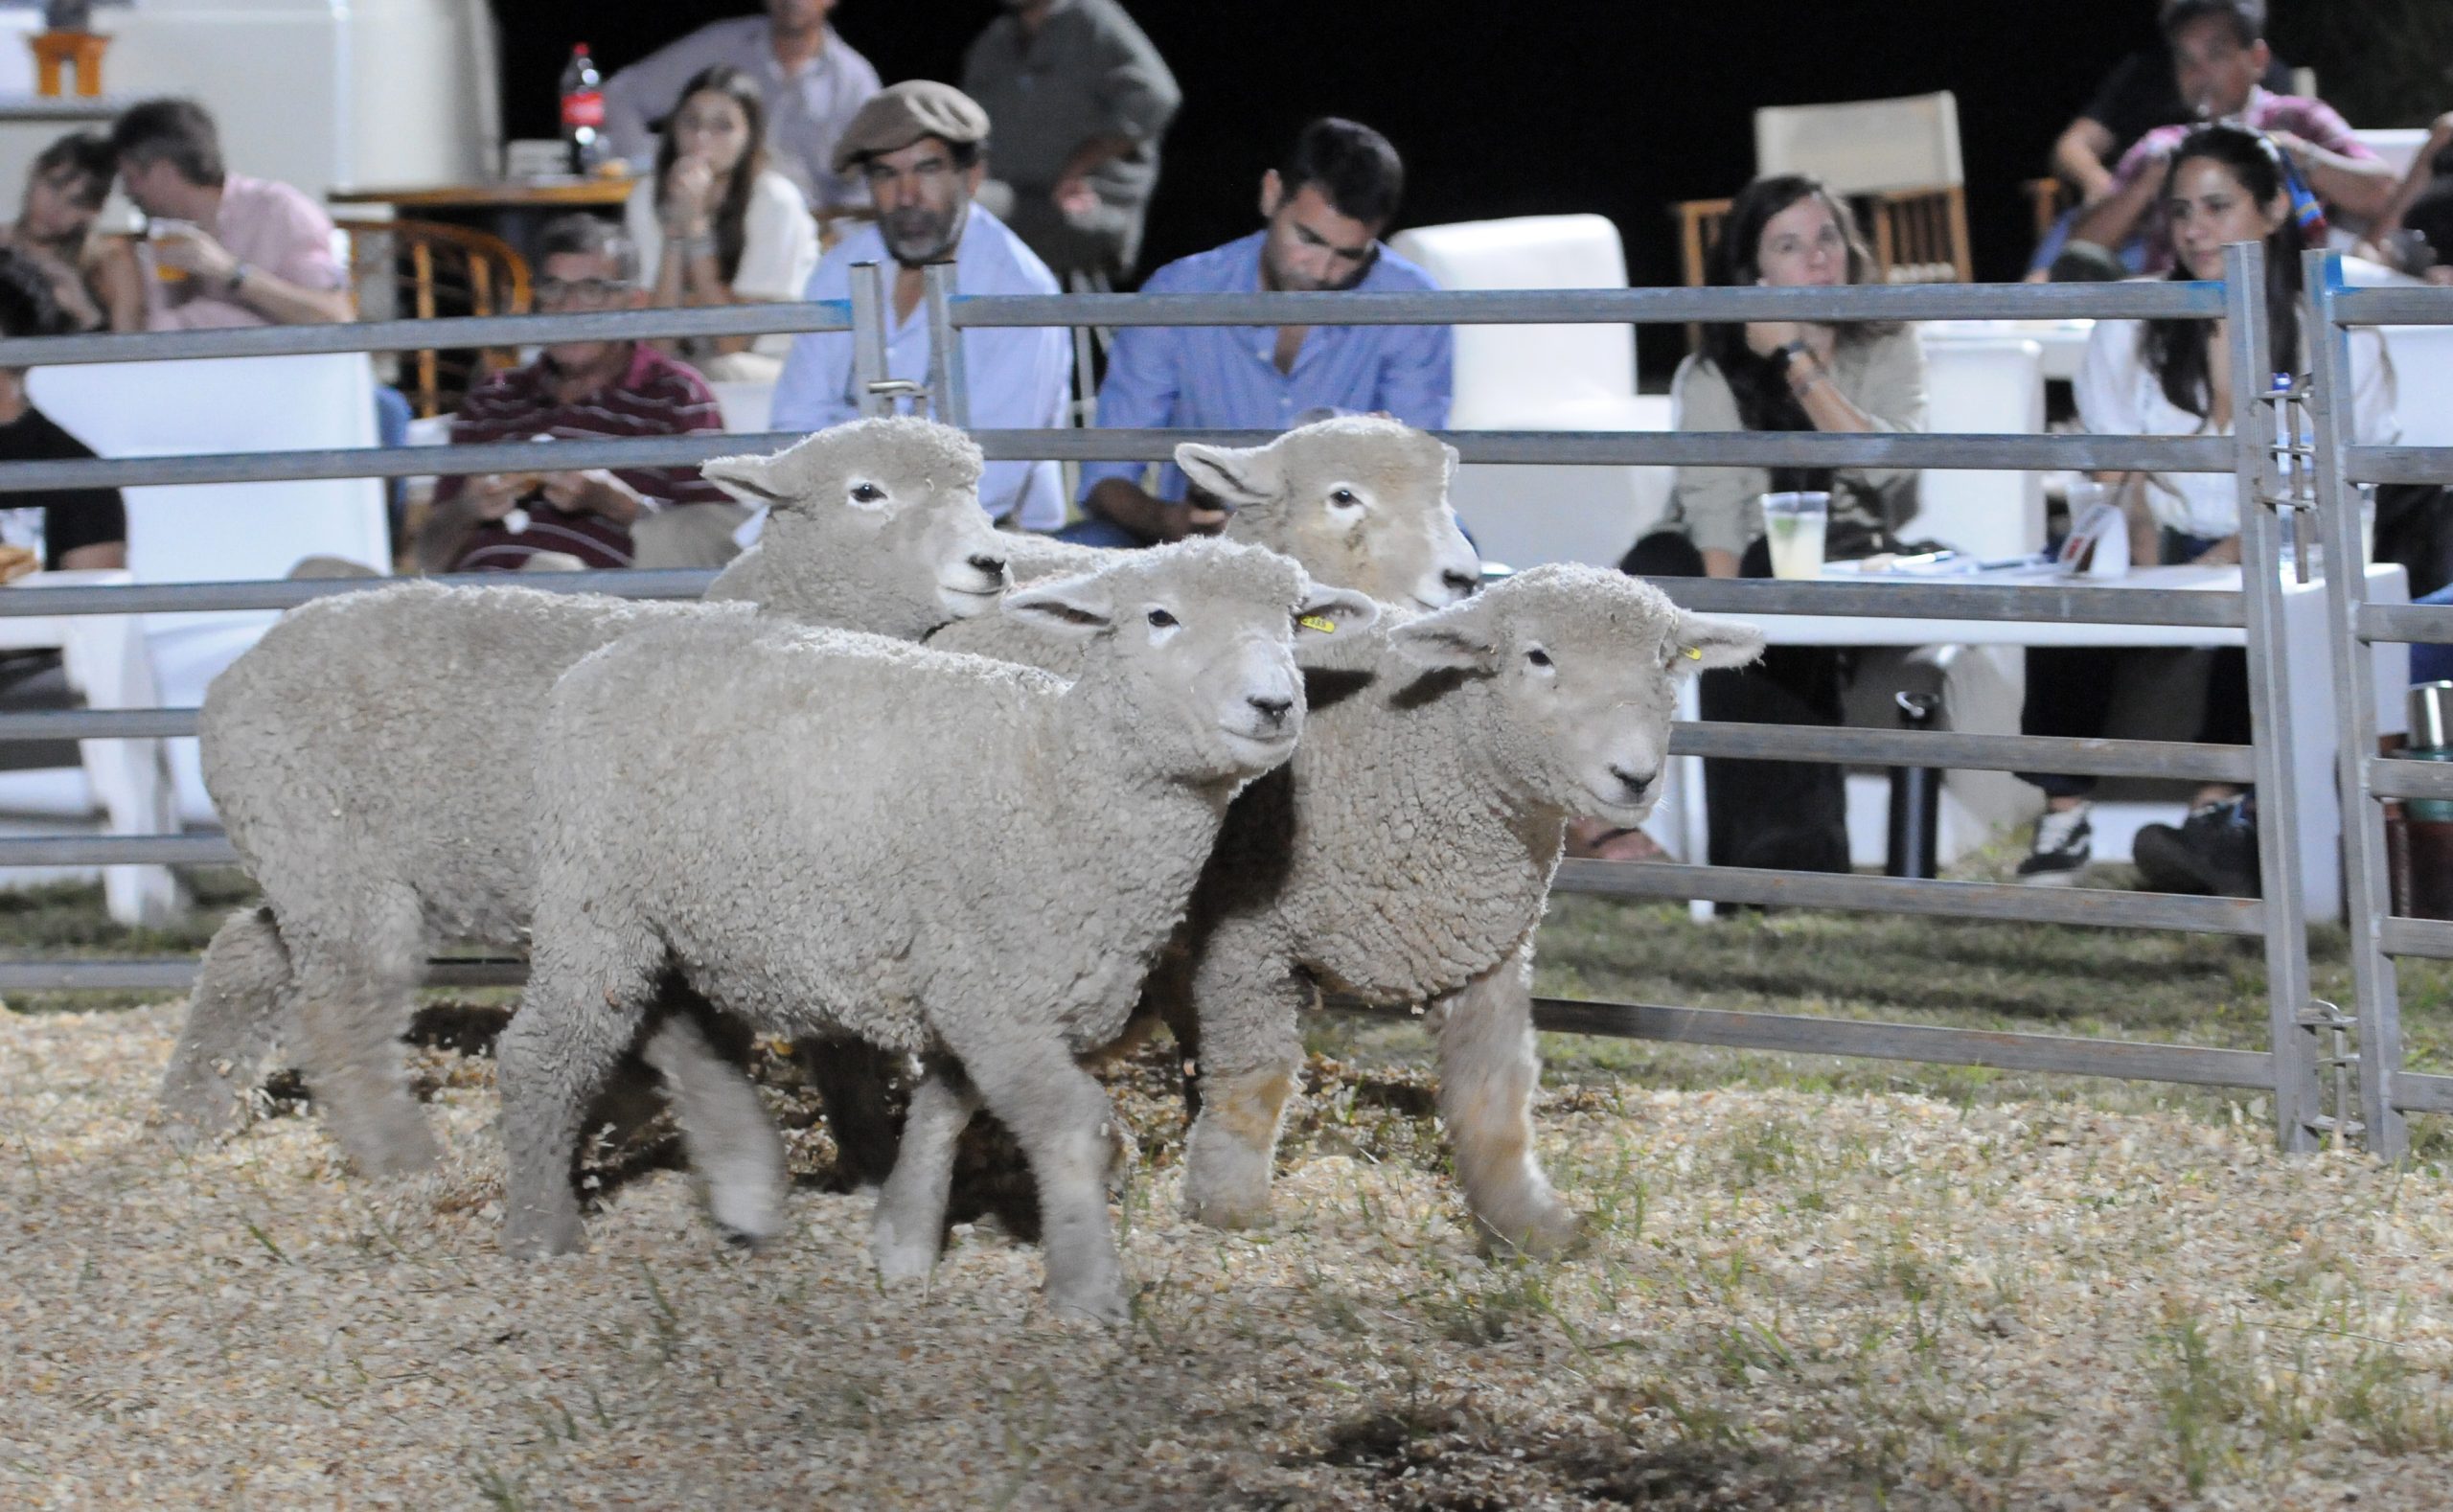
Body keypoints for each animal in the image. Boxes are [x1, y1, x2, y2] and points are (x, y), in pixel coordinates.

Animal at [160, 420, 1005, 1173]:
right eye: (867, 491)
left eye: (974, 486)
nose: (993, 561)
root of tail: (234, 674)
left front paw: (864, 1151)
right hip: (329, 857)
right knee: (337, 1012)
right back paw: (401, 1163)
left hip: (301, 859)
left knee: (244, 955)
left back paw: (193, 1119)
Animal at [497, 538, 1383, 1316]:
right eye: (1160, 616)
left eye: (1295, 621)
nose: (1275, 704)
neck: (1059, 780)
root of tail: (604, 658)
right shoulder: (992, 991)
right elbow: (1072, 1126)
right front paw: (1086, 1291)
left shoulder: (972, 982)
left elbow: (945, 1107)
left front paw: (902, 1241)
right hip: (592, 893)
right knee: (546, 1050)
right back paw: (542, 1235)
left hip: (665, 917)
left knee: (666, 1023)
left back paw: (746, 1189)